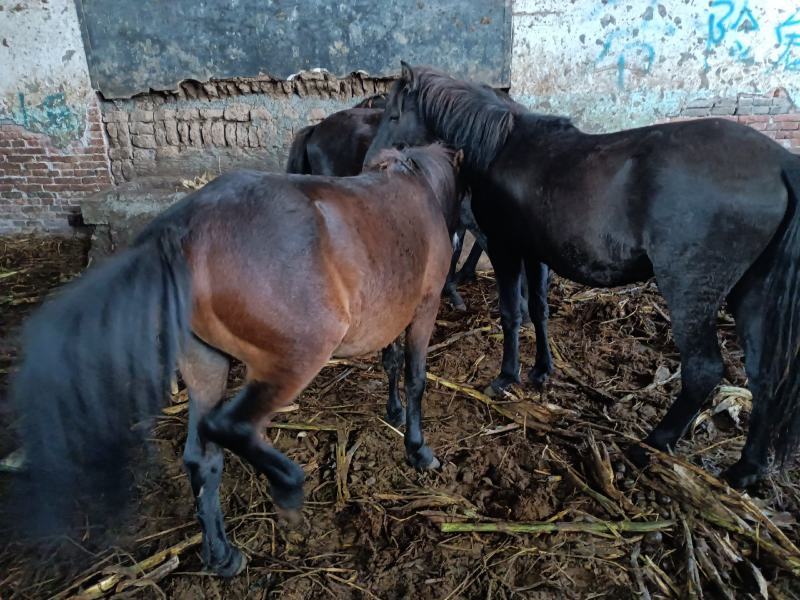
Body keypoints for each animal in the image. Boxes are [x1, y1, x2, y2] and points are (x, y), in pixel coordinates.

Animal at [10, 144, 462, 577]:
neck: (412, 183)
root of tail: (182, 231)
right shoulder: (424, 308)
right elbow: (415, 377)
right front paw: (418, 451)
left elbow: (391, 362)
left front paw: (394, 412)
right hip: (294, 358)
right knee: (231, 426)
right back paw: (288, 486)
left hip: (205, 364)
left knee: (202, 457)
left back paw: (222, 555)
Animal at [366, 62, 800, 488]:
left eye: (393, 114)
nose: (369, 161)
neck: (501, 147)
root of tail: (781, 163)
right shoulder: (534, 254)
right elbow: (538, 310)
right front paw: (542, 370)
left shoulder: (506, 249)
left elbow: (511, 314)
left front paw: (506, 377)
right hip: (751, 293)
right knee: (764, 377)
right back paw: (744, 470)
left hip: (691, 292)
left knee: (703, 371)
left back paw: (651, 445)